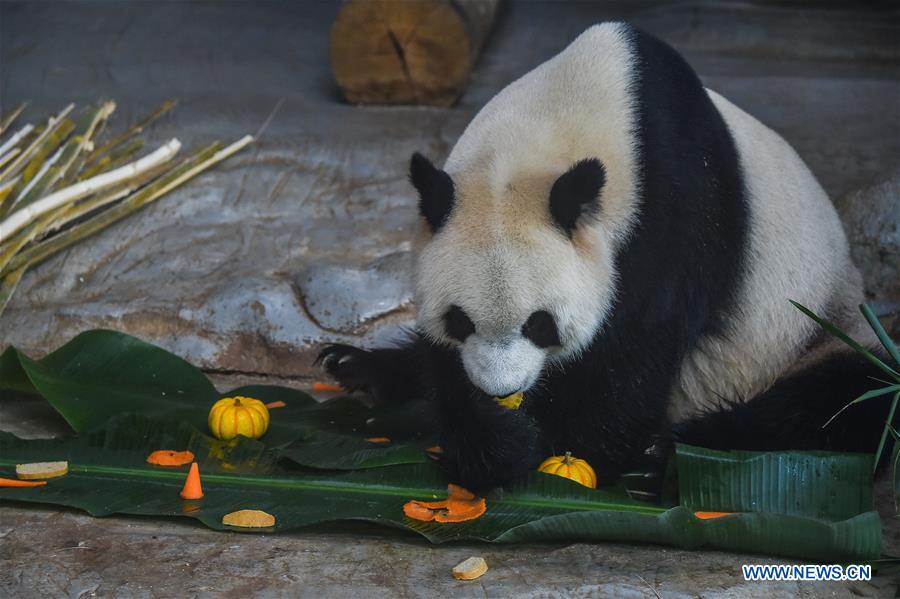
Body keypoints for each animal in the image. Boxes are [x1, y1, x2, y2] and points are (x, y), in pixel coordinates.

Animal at [318, 23, 891, 491]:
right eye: (459, 321)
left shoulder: (676, 206)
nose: (504, 390)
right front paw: (492, 437)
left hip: (813, 329)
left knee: (846, 400)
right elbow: (445, 367)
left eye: (540, 324)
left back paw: (676, 449)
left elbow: (636, 352)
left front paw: (553, 442)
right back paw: (358, 366)